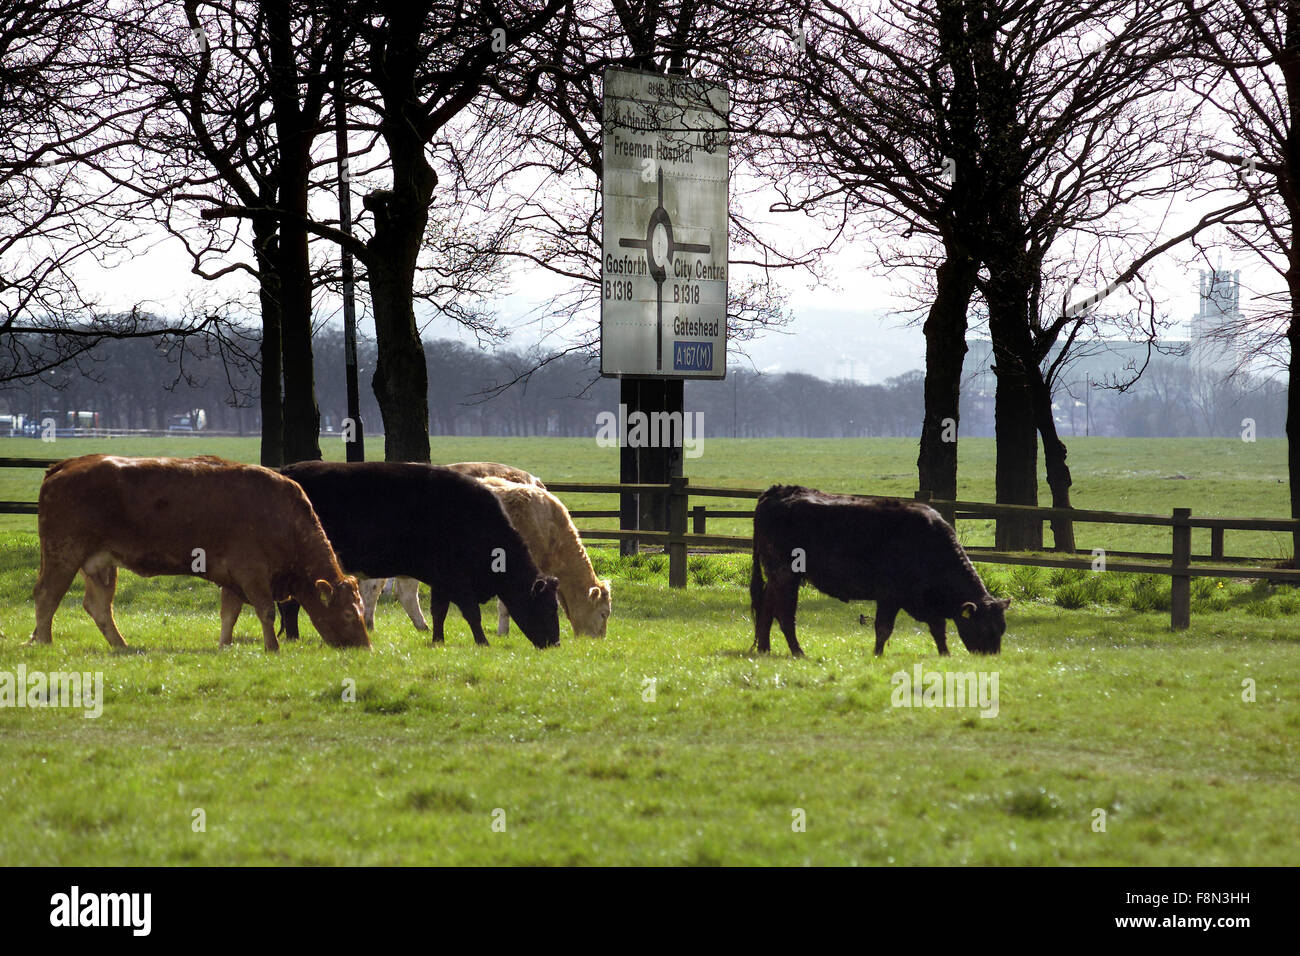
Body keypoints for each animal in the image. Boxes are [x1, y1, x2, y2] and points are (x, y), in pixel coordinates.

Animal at [27, 455, 371, 650]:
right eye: (347, 613)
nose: (365, 648)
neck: (282, 515)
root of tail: (65, 465)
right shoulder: (252, 573)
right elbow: (266, 611)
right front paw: (272, 647)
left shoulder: (233, 578)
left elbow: (229, 615)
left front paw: (225, 646)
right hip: (63, 554)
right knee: (47, 595)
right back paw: (44, 641)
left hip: (100, 564)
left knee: (98, 606)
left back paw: (122, 646)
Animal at [274, 463, 559, 650]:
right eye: (547, 605)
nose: (555, 643)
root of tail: (286, 471)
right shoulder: (457, 580)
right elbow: (471, 613)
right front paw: (482, 642)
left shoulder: (442, 580)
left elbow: (439, 611)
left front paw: (438, 640)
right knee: (290, 604)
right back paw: (292, 637)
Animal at [366, 481, 608, 639]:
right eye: (604, 613)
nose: (597, 641)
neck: (549, 527)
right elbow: (504, 606)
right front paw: (503, 632)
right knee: (375, 587)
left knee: (403, 592)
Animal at [748, 486, 1008, 658]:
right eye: (984, 628)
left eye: (1002, 629)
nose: (991, 658)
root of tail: (776, 491)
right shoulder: (890, 596)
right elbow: (884, 627)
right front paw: (877, 655)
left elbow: (938, 628)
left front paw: (945, 654)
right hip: (786, 574)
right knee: (784, 614)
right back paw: (798, 652)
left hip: (777, 576)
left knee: (767, 608)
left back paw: (764, 648)